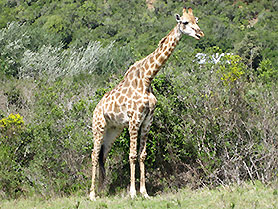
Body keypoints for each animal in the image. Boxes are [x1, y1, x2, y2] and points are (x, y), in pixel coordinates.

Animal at [89, 6, 204, 201]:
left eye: (196, 20)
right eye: (185, 22)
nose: (200, 33)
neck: (147, 78)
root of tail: (95, 109)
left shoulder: (147, 120)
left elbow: (142, 155)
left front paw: (144, 192)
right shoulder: (134, 120)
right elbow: (132, 155)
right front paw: (133, 193)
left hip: (113, 130)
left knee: (103, 155)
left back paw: (101, 190)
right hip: (99, 126)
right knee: (94, 155)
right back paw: (92, 195)